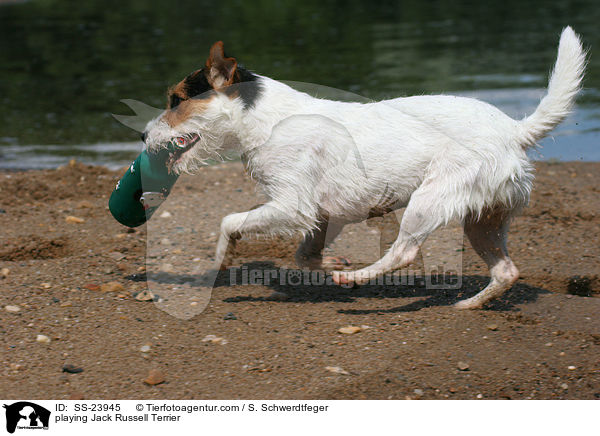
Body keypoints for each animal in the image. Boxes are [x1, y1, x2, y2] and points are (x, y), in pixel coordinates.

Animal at [142, 27, 584, 308]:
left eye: (176, 100)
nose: (144, 136)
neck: (267, 120)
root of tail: (514, 130)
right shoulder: (320, 216)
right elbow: (304, 256)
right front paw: (329, 262)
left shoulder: (291, 206)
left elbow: (229, 222)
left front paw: (221, 255)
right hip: (484, 220)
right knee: (507, 271)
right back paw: (470, 305)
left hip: (428, 201)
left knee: (404, 252)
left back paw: (356, 280)